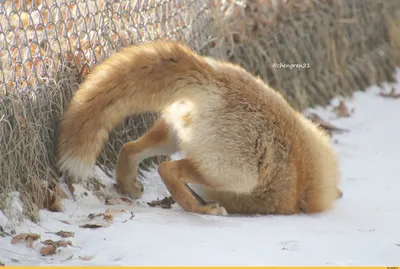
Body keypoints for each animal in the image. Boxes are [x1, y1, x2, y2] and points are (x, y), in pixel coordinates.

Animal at [56, 39, 342, 216]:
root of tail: (212, 77)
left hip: (171, 136)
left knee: (129, 148)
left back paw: (128, 187)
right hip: (234, 175)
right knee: (167, 169)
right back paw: (199, 209)